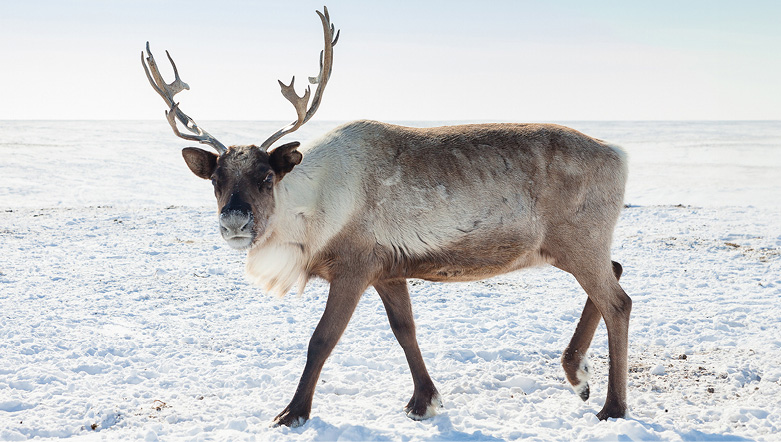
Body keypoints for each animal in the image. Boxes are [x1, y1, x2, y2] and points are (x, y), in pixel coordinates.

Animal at [142, 6, 631, 428]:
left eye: (266, 176)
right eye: (215, 178)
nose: (234, 222)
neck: (309, 210)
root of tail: (619, 154)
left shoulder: (353, 267)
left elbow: (321, 339)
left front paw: (293, 412)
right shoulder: (388, 271)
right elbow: (405, 330)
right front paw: (423, 400)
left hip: (579, 242)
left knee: (619, 302)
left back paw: (613, 406)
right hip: (573, 247)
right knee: (617, 271)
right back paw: (577, 375)